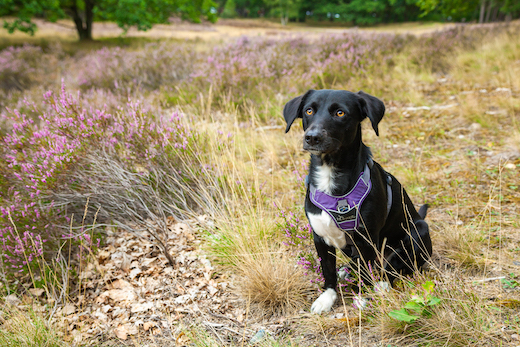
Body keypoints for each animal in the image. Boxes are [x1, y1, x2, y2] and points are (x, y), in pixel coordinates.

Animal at [282, 89, 432, 316]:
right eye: (309, 110)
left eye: (340, 113)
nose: (312, 137)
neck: (330, 174)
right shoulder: (319, 237)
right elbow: (327, 270)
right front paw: (327, 297)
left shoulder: (366, 239)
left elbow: (367, 272)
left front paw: (363, 298)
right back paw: (347, 270)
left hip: (417, 232)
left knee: (395, 266)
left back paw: (382, 283)